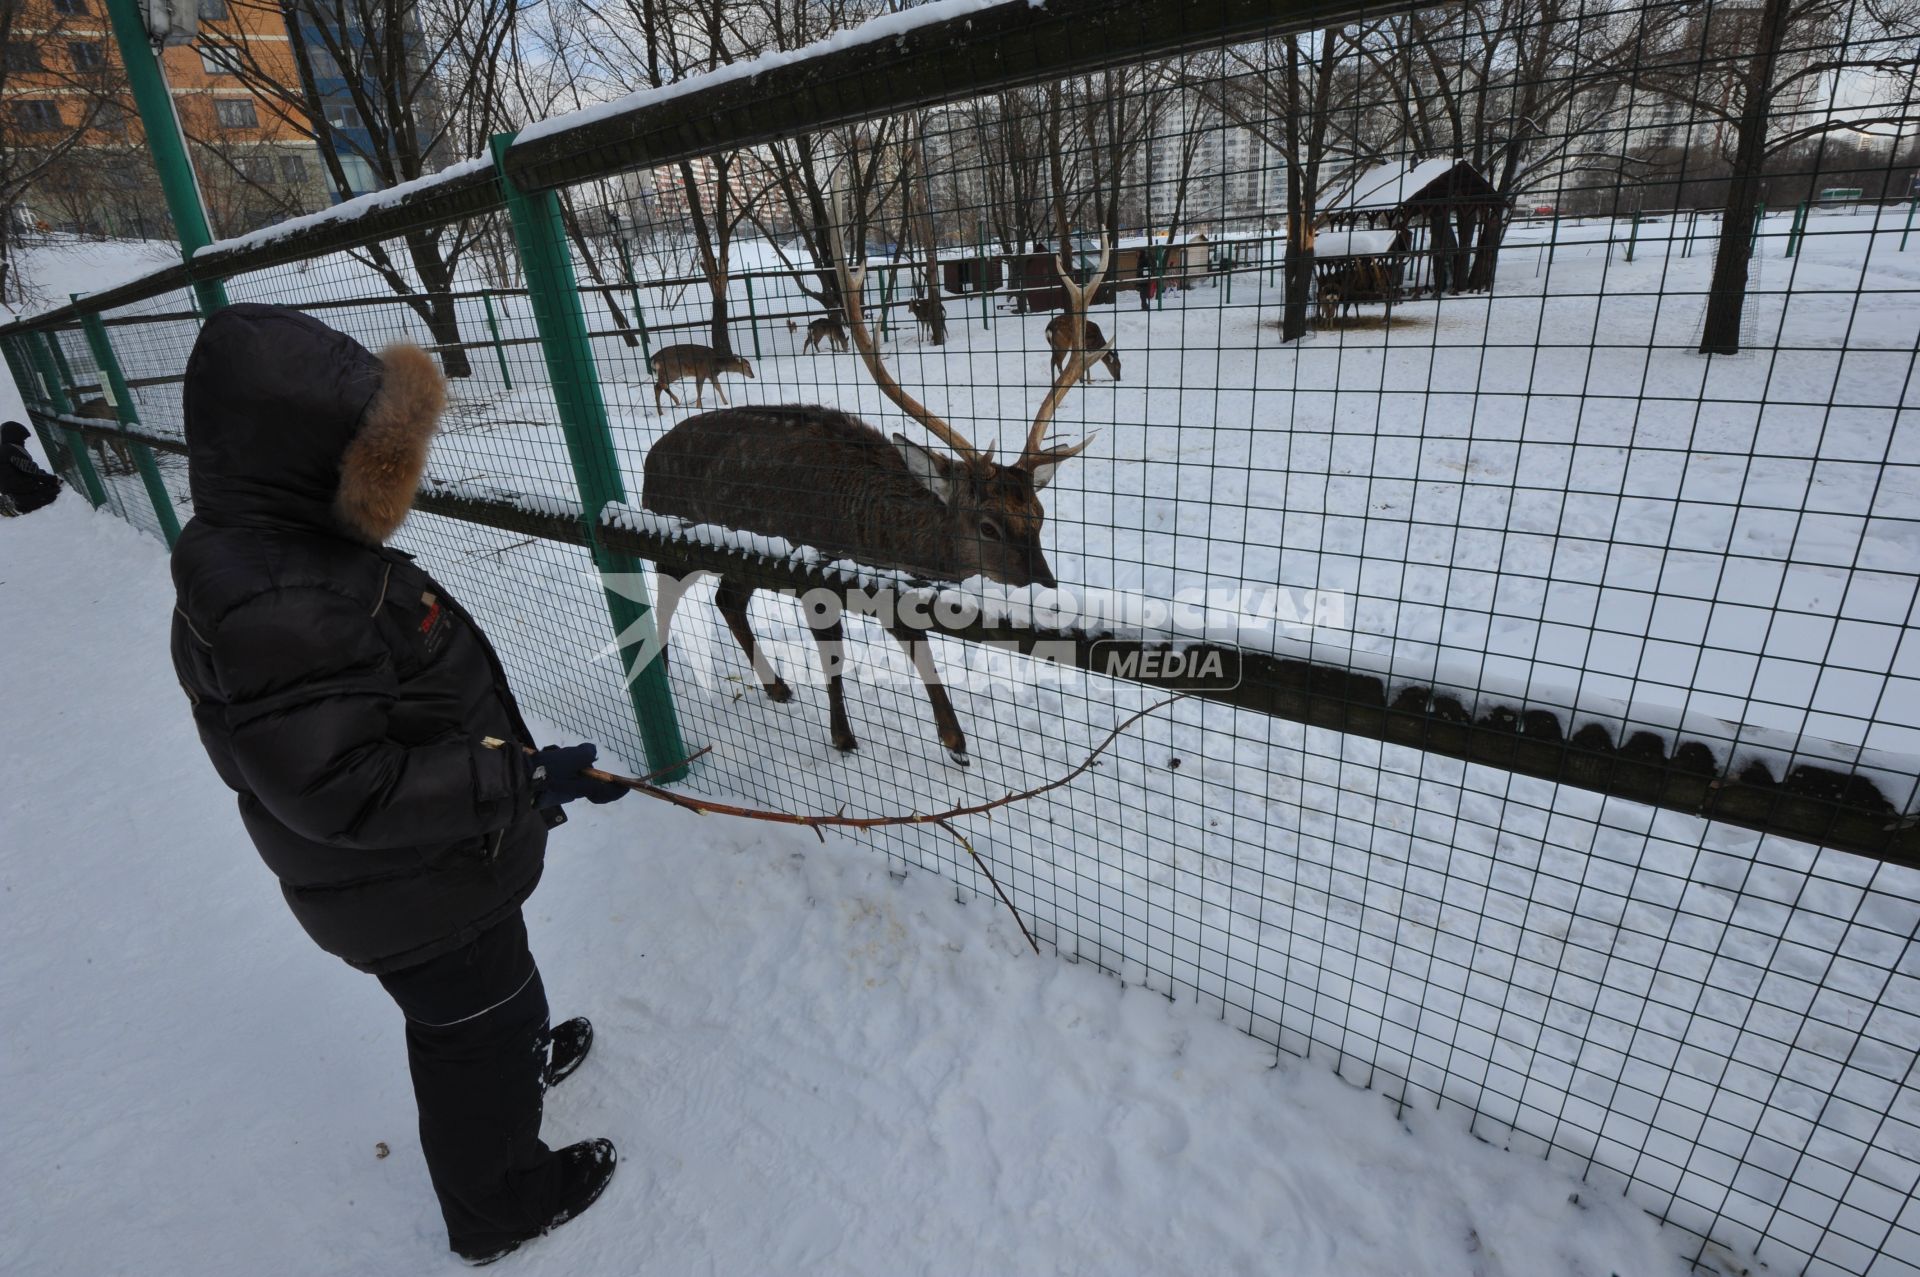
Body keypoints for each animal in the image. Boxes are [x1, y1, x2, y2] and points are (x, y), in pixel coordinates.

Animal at [645, 205, 1113, 760]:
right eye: (987, 525)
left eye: (1040, 515)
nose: (1049, 593)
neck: (873, 536)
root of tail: (649, 459)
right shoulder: (816, 571)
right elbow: (833, 653)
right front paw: (843, 736)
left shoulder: (890, 583)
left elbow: (915, 641)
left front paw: (955, 740)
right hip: (673, 536)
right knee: (665, 593)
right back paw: (662, 670)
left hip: (742, 556)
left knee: (727, 601)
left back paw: (777, 687)